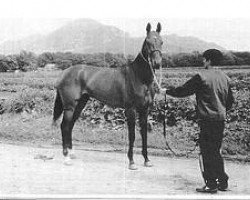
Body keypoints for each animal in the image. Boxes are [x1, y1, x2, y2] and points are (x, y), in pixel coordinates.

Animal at [51, 22, 163, 170]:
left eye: (161, 42)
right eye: (148, 42)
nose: (157, 63)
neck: (139, 77)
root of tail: (64, 72)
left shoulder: (144, 110)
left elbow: (144, 134)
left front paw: (147, 160)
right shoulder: (131, 110)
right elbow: (132, 135)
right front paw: (131, 162)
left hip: (80, 105)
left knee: (70, 126)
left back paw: (72, 153)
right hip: (70, 106)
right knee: (64, 126)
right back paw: (67, 157)